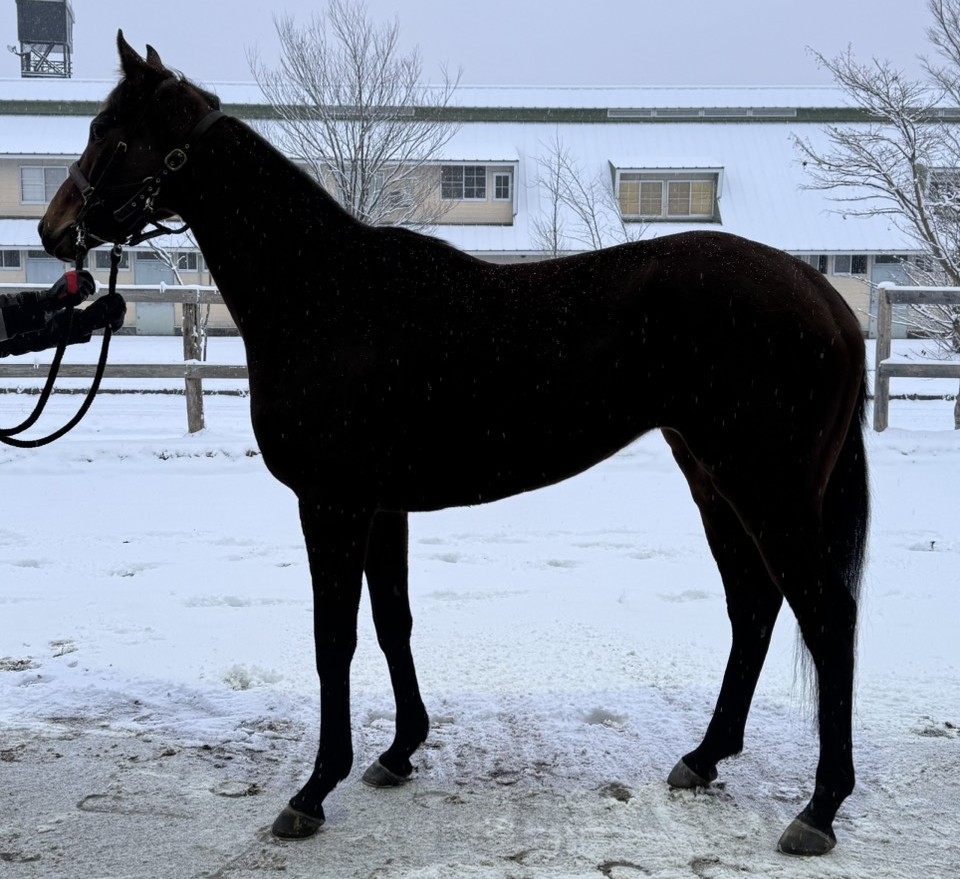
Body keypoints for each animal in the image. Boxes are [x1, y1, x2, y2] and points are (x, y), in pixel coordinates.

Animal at [39, 32, 869, 857]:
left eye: (109, 131)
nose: (53, 230)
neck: (324, 294)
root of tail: (824, 298)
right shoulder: (382, 507)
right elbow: (392, 620)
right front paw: (399, 750)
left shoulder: (332, 504)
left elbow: (334, 637)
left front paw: (313, 790)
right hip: (712, 476)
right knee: (755, 603)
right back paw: (704, 756)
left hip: (764, 485)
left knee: (825, 613)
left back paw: (819, 807)